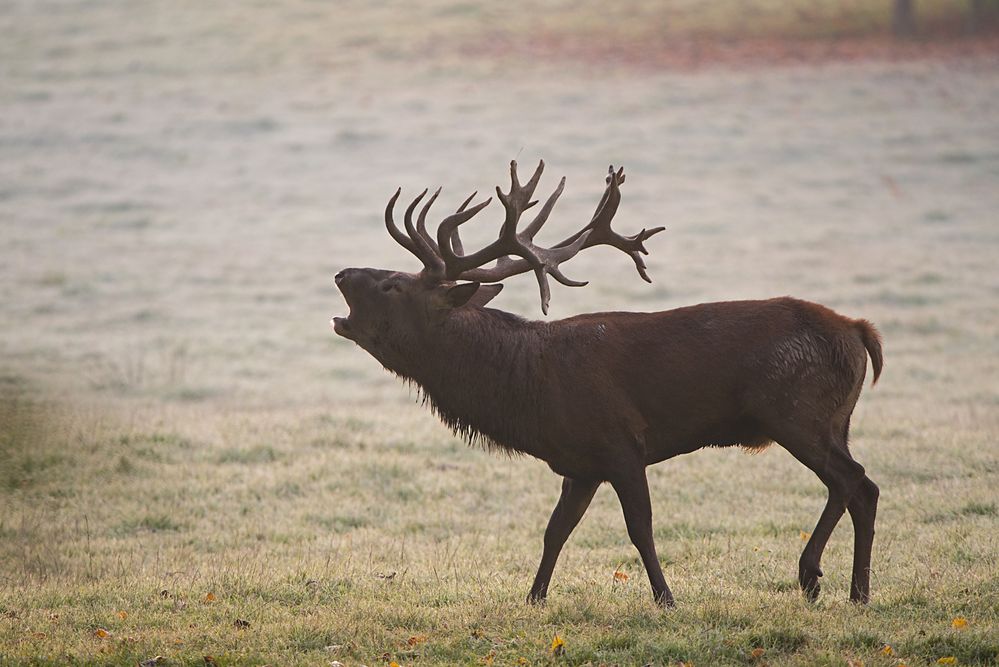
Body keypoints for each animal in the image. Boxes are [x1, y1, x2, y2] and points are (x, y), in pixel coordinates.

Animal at [330, 159, 884, 608]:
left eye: (393, 285)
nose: (341, 272)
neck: (529, 390)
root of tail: (861, 331)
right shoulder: (580, 464)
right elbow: (554, 531)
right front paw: (533, 598)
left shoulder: (621, 444)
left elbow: (640, 530)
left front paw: (667, 600)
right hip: (836, 420)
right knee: (867, 487)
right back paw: (859, 593)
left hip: (796, 412)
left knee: (850, 479)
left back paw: (811, 576)